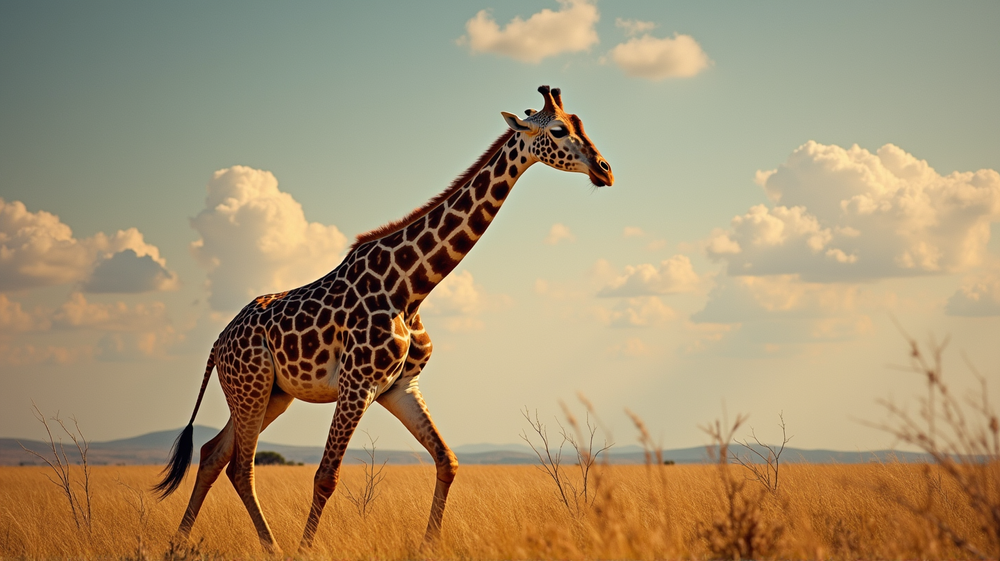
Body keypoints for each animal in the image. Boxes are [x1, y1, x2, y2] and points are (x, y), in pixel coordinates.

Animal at [154, 85, 614, 554]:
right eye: (558, 130)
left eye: (579, 124)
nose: (605, 171)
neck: (411, 289)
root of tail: (218, 342)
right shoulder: (357, 383)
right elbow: (326, 477)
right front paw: (306, 551)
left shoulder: (400, 386)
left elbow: (447, 460)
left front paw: (429, 546)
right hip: (251, 387)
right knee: (240, 466)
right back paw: (274, 549)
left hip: (271, 394)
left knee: (213, 454)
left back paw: (180, 543)